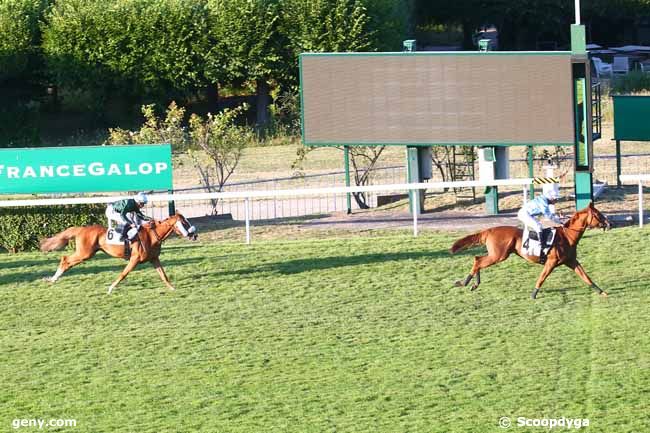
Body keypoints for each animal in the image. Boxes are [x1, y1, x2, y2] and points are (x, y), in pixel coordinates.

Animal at [40, 213, 196, 294]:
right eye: (185, 223)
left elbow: (163, 275)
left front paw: (172, 288)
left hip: (85, 253)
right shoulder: (134, 259)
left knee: (67, 262)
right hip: (84, 253)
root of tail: (81, 229)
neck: (152, 235)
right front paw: (110, 288)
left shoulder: (154, 258)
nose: (194, 235)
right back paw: (53, 279)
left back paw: (53, 279)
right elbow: (123, 274)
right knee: (65, 259)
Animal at [448, 202, 612, 296]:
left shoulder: (571, 261)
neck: (567, 236)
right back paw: (465, 283)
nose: (609, 224)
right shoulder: (551, 262)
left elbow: (586, 277)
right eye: (598, 215)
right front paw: (534, 294)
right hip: (499, 255)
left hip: (497, 255)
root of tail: (490, 230)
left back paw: (474, 284)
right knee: (478, 261)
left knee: (478, 259)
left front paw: (602, 292)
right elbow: (542, 277)